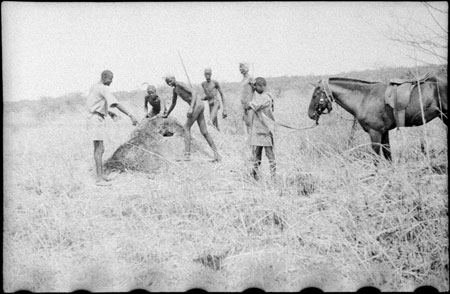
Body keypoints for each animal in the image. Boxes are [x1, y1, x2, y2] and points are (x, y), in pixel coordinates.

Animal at [310, 75, 446, 158]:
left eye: (315, 95)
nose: (310, 114)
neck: (364, 97)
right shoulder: (384, 132)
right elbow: (388, 154)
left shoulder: (375, 133)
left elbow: (376, 158)